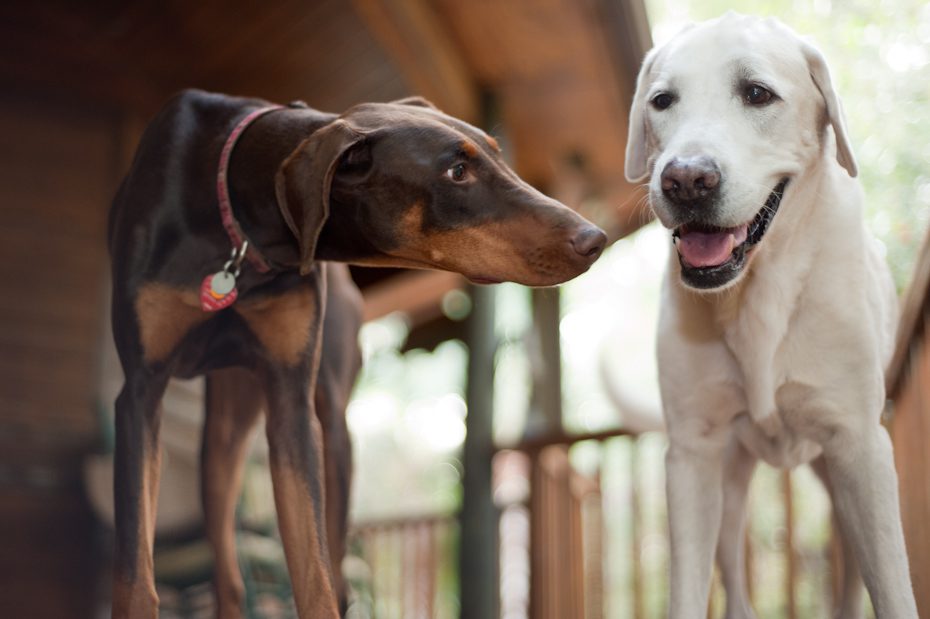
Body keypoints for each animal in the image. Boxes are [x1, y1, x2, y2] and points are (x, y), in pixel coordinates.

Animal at [109, 88, 604, 619]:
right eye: (456, 171)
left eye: (498, 154)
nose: (594, 239)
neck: (237, 225)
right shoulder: (139, 392)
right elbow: (135, 573)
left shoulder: (292, 406)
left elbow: (314, 572)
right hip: (221, 443)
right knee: (227, 563)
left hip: (329, 426)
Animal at [624, 14, 912, 619]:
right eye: (662, 101)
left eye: (757, 94)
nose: (685, 180)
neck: (757, 291)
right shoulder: (692, 454)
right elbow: (688, 589)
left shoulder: (861, 446)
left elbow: (893, 589)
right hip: (729, 484)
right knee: (732, 571)